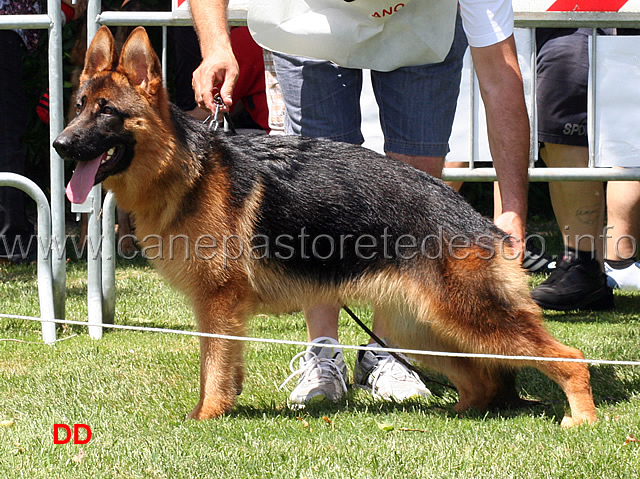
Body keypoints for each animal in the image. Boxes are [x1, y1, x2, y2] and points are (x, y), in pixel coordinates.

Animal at [52, 26, 596, 428]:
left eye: (107, 112)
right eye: (78, 107)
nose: (59, 145)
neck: (186, 170)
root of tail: (480, 222)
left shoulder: (218, 306)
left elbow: (214, 368)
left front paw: (206, 416)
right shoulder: (219, 310)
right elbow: (221, 365)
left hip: (468, 319)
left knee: (569, 357)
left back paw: (582, 418)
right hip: (425, 326)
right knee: (483, 381)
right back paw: (454, 413)